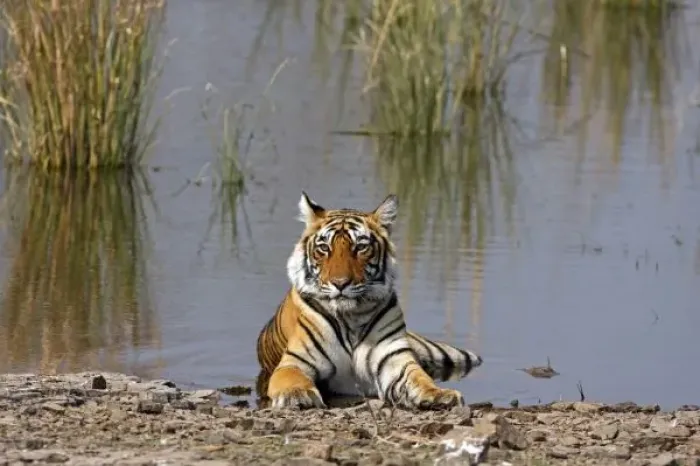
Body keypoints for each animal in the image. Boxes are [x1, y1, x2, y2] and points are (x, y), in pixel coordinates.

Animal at [255, 192, 482, 410]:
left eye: (361, 247)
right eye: (324, 248)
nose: (340, 283)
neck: (351, 318)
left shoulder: (395, 360)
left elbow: (420, 378)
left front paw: (439, 394)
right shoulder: (295, 362)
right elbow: (292, 378)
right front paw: (297, 395)